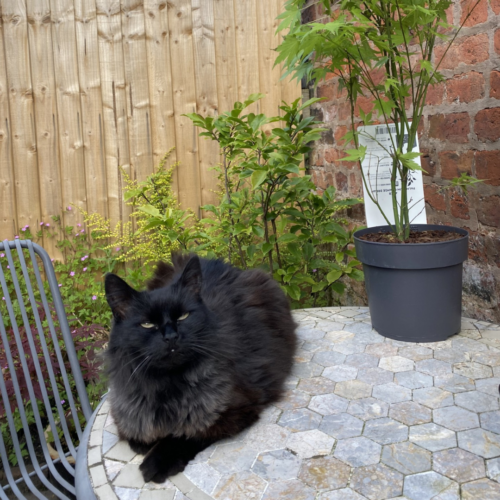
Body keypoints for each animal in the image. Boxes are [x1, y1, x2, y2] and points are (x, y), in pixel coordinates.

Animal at [103, 256, 294, 482]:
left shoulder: (234, 409)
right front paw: (145, 443)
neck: (166, 384)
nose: (171, 337)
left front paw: (158, 461)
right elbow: (135, 431)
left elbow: (185, 435)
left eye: (183, 316)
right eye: (148, 324)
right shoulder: (127, 408)